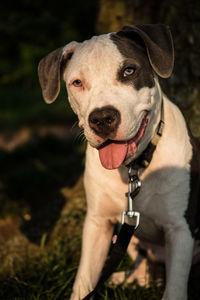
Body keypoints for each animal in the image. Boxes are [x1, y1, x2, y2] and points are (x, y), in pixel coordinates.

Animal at [38, 24, 200, 300]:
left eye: (128, 71)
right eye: (77, 82)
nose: (102, 118)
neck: (134, 168)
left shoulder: (180, 230)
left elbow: (175, 290)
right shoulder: (97, 224)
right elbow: (83, 281)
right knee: (142, 272)